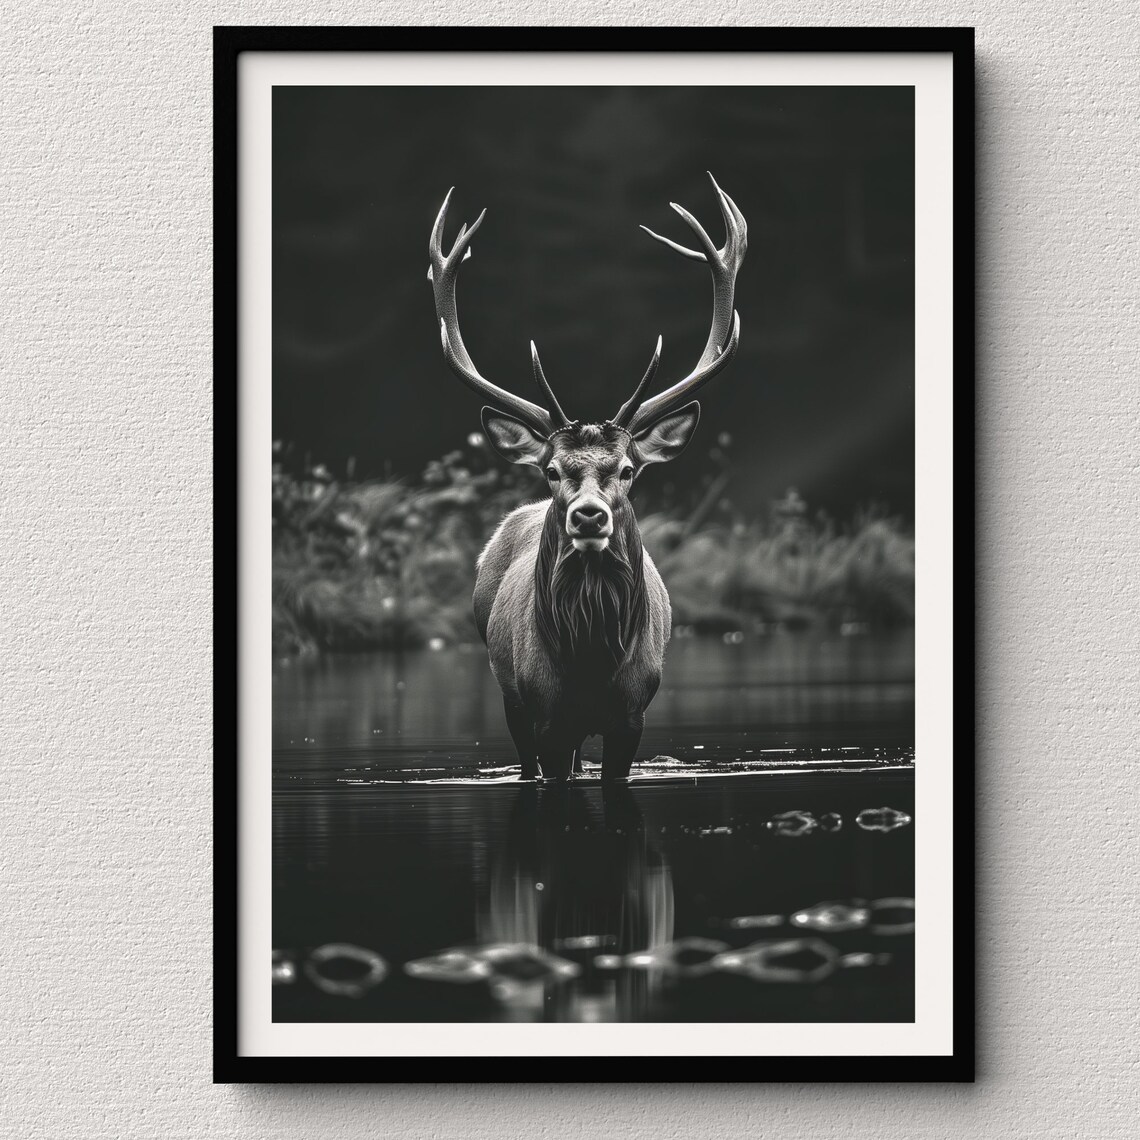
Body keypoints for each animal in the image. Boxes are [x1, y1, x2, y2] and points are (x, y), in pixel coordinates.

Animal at [426, 173, 747, 781]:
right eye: (551, 470)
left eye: (627, 469)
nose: (589, 516)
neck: (592, 661)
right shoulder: (543, 714)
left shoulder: (632, 716)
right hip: (509, 692)